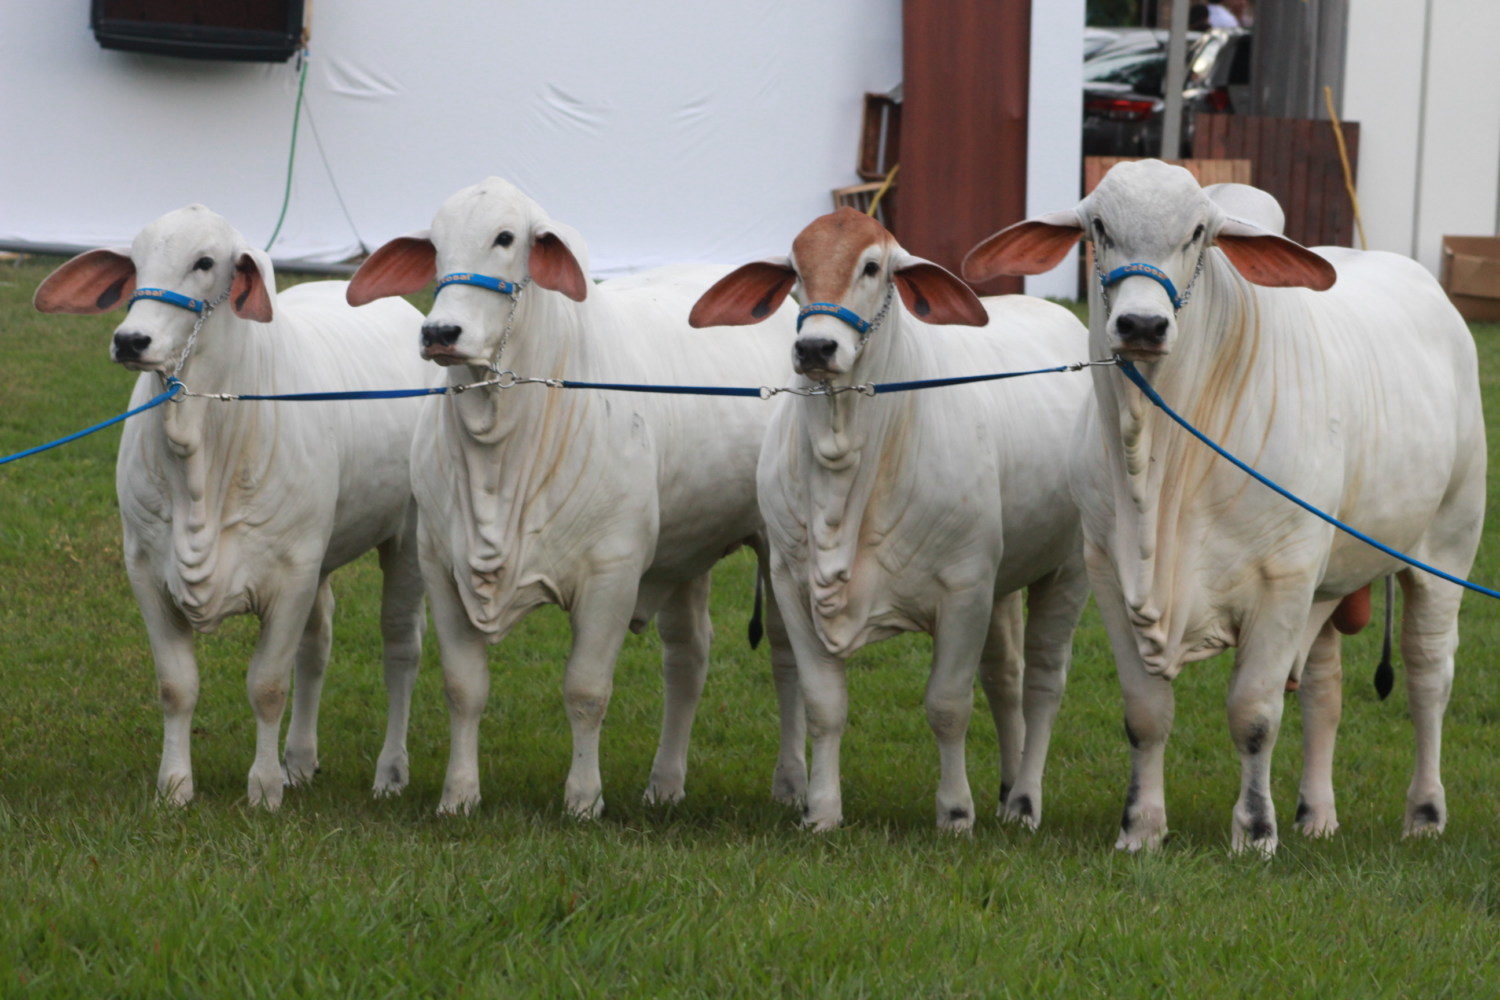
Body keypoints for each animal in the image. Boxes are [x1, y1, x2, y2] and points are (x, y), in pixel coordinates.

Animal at [33, 206, 435, 809]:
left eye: (205, 262)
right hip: (321, 556)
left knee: (401, 649)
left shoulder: (290, 575)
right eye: (135, 261)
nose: (131, 340)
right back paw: (301, 759)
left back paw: (389, 771)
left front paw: (264, 789)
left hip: (404, 540)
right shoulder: (146, 570)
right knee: (316, 646)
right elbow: (177, 686)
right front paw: (176, 785)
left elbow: (266, 685)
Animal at [343, 177, 810, 821]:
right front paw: (458, 794)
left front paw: (584, 799)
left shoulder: (611, 574)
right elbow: (464, 689)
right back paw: (665, 784)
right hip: (684, 552)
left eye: (506, 238)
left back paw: (791, 783)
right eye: (435, 245)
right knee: (688, 659)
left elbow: (586, 690)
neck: (500, 449)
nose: (439, 334)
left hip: (775, 547)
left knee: (787, 659)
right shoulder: (441, 566)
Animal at [690, 206, 1092, 833]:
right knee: (1005, 679)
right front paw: (821, 810)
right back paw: (1007, 792)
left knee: (1044, 683)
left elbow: (947, 706)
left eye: (873, 267)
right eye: (795, 268)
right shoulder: (791, 586)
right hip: (1004, 581)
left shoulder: (964, 589)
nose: (816, 347)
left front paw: (954, 812)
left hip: (1068, 569)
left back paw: (1026, 800)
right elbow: (824, 706)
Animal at [966, 160, 1482, 857]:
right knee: (1324, 689)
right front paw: (1140, 828)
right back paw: (1316, 814)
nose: (1143, 326)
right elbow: (1146, 715)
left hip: (1445, 548)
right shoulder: (1110, 576)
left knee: (1429, 675)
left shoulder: (1283, 581)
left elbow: (1254, 715)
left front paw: (1256, 832)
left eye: (1198, 234)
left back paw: (1424, 813)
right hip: (1328, 583)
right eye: (1098, 226)